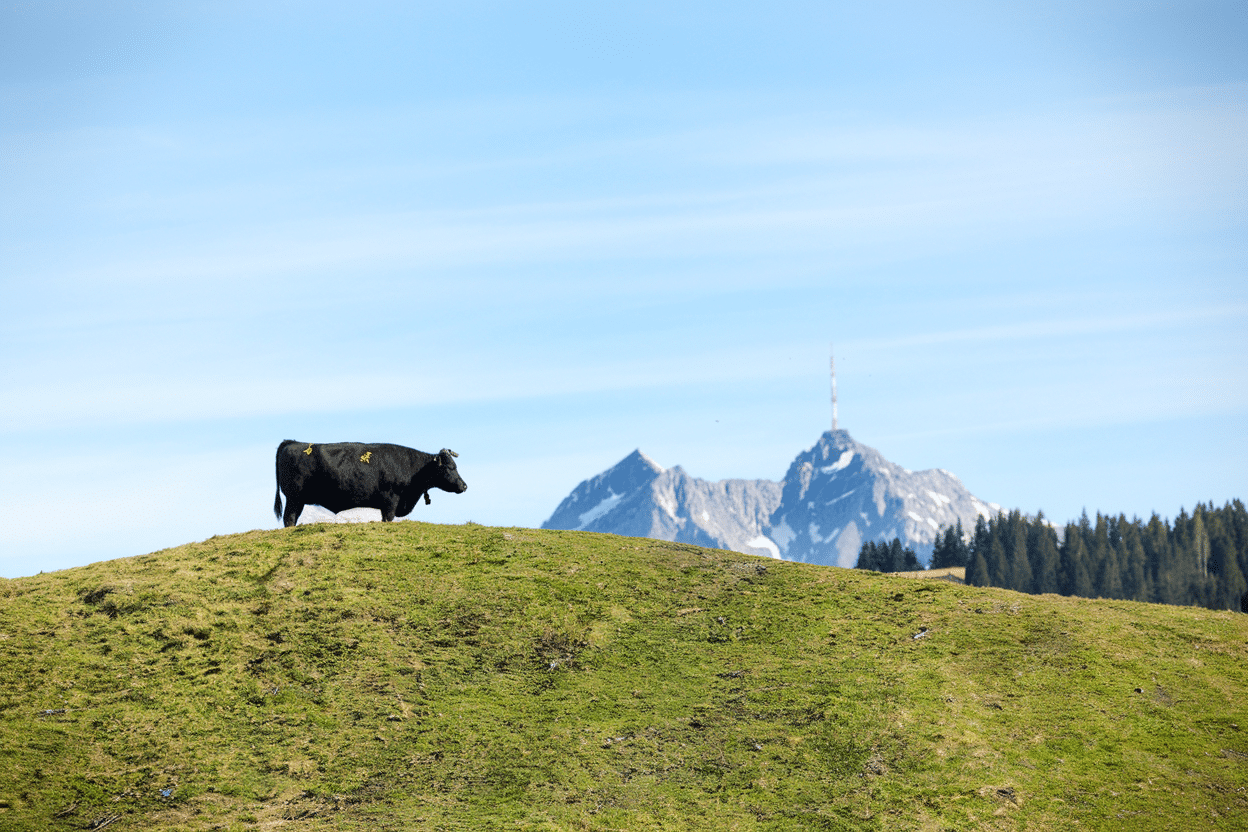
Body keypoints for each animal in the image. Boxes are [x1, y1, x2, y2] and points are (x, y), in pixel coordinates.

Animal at [273, 440, 467, 528]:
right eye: (451, 467)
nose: (464, 486)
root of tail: (292, 442)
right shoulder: (391, 500)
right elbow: (388, 518)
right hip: (294, 498)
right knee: (289, 518)